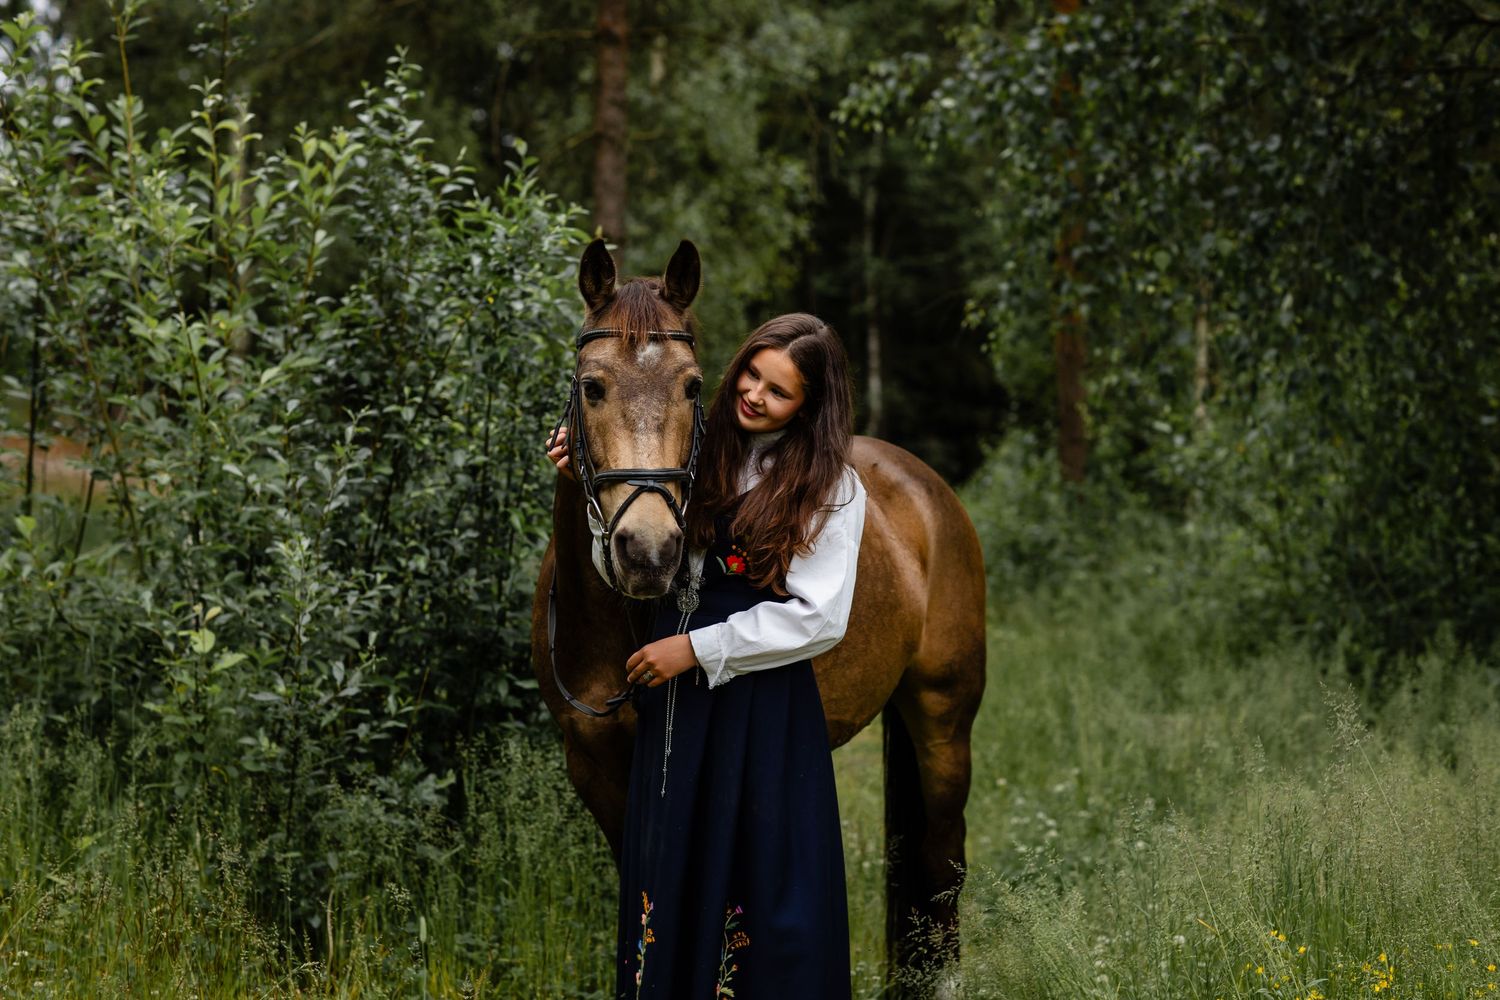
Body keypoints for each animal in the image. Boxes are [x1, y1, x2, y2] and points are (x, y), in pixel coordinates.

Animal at [530, 238, 986, 994]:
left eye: (692, 386)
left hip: (944, 723)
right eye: (592, 386)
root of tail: (926, 488)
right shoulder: (595, 768)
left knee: (942, 860)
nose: (649, 551)